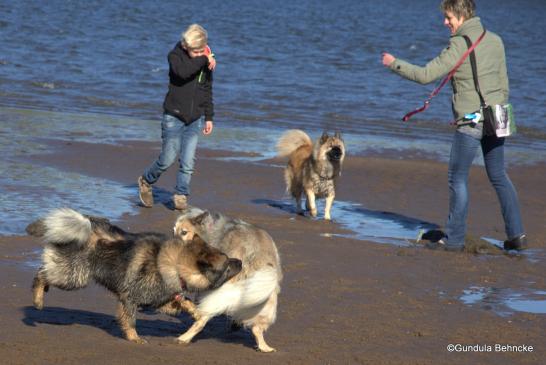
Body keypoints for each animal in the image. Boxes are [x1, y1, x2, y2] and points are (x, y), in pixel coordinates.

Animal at [25, 208, 238, 344]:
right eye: (227, 265)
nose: (240, 262)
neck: (175, 264)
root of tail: (81, 226)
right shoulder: (130, 297)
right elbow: (130, 320)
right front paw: (134, 337)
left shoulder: (158, 299)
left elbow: (182, 302)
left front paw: (194, 311)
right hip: (75, 276)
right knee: (41, 274)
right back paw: (37, 298)